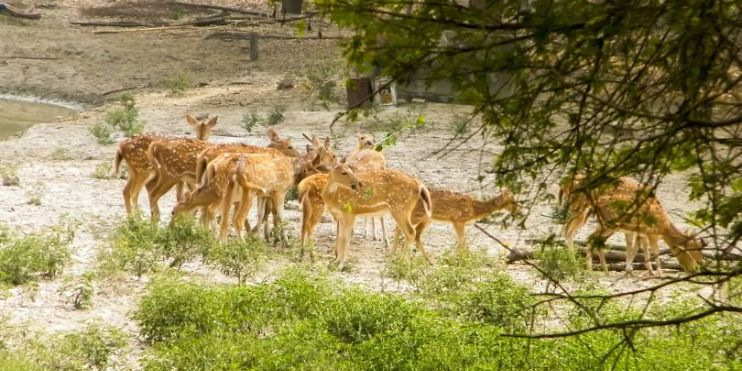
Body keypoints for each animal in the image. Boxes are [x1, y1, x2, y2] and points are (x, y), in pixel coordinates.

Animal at [392, 189, 520, 253]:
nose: (520, 212)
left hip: (427, 218)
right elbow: (462, 240)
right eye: (513, 202)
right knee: (401, 228)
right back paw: (393, 256)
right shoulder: (458, 221)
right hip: (416, 214)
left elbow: (462, 240)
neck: (474, 209)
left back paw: (429, 261)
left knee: (416, 234)